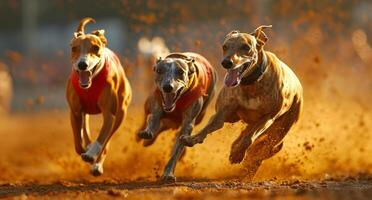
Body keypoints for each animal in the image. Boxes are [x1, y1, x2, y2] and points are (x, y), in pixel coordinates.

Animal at [66, 17, 132, 177]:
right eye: (74, 48)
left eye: (95, 48)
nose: (82, 64)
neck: (92, 82)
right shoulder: (75, 112)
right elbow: (78, 142)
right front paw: (85, 149)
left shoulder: (110, 114)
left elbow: (102, 138)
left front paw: (91, 155)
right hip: (85, 113)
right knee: (85, 130)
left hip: (121, 112)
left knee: (106, 143)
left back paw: (96, 164)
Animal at [138, 52, 217, 182]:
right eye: (159, 70)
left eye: (180, 71)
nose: (167, 87)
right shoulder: (157, 105)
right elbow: (153, 119)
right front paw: (147, 132)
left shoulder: (188, 123)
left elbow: (177, 149)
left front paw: (168, 174)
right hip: (148, 104)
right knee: (149, 118)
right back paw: (145, 137)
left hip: (200, 115)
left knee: (168, 126)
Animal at [182, 25, 304, 180]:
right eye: (225, 46)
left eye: (246, 47)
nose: (226, 62)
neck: (251, 84)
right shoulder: (223, 113)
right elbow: (210, 126)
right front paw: (193, 138)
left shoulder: (267, 118)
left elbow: (249, 139)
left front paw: (238, 154)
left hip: (279, 129)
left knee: (262, 149)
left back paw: (247, 169)